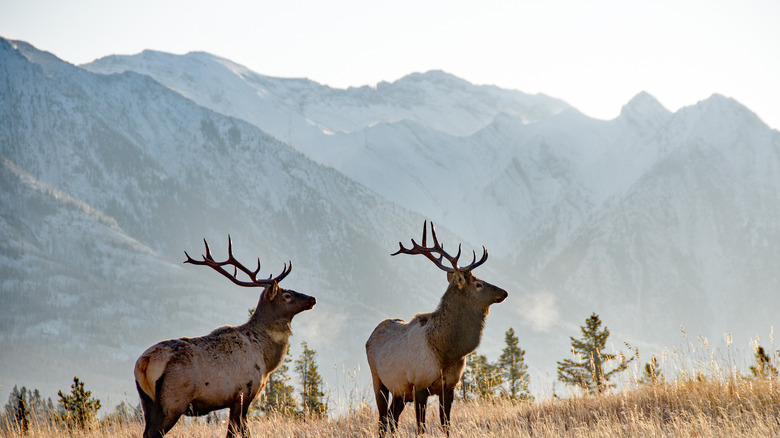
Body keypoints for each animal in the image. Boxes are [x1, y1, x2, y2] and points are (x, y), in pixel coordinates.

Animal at [135, 238, 316, 436]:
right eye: (287, 295)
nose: (312, 299)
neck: (266, 359)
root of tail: (144, 362)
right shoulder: (243, 394)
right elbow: (238, 431)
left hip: (147, 402)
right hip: (173, 401)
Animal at [368, 222, 512, 434]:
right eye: (478, 284)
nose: (504, 292)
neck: (447, 352)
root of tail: (370, 336)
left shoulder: (449, 387)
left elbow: (446, 425)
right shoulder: (420, 385)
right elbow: (421, 427)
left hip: (400, 390)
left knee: (392, 419)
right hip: (378, 380)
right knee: (382, 420)